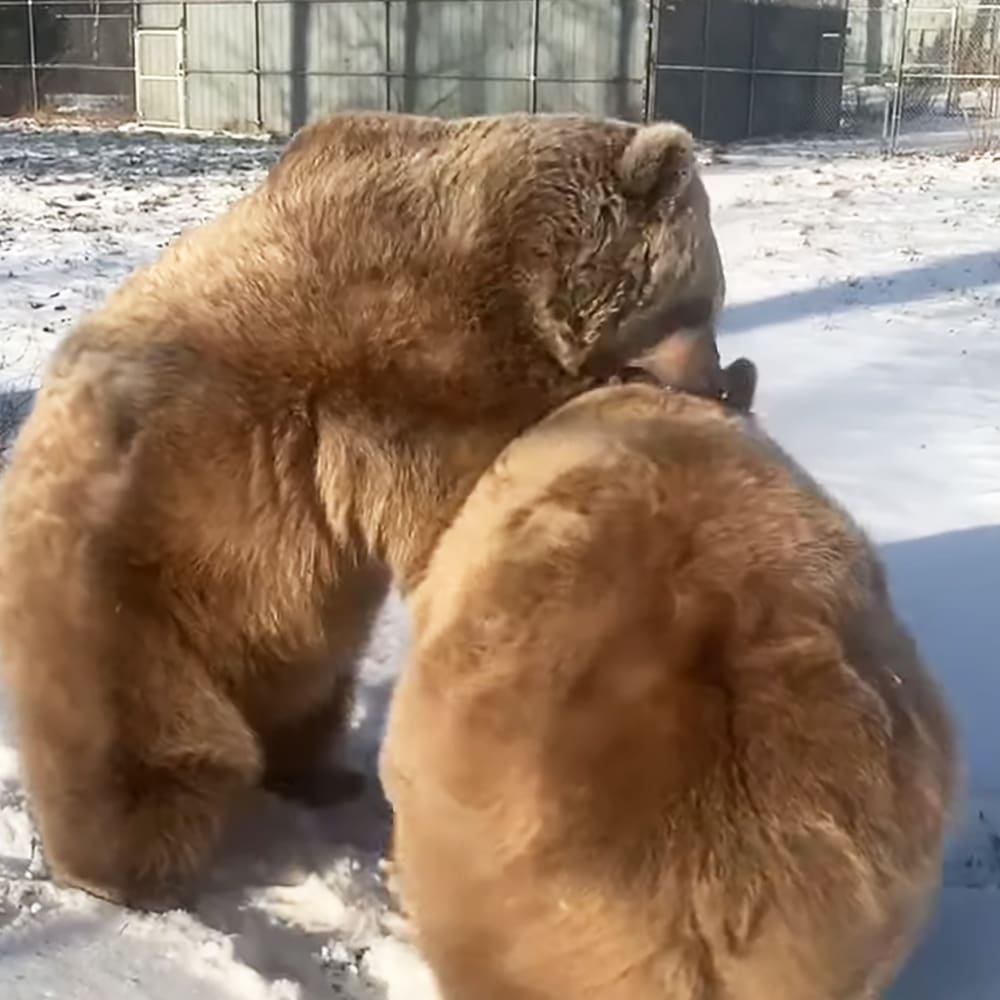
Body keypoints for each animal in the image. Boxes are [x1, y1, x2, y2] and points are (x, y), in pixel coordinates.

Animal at [0, 110, 726, 910]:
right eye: (704, 299)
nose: (716, 375)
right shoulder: (407, 353)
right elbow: (465, 475)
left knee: (309, 691)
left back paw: (320, 774)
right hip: (132, 575)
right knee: (131, 732)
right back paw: (131, 867)